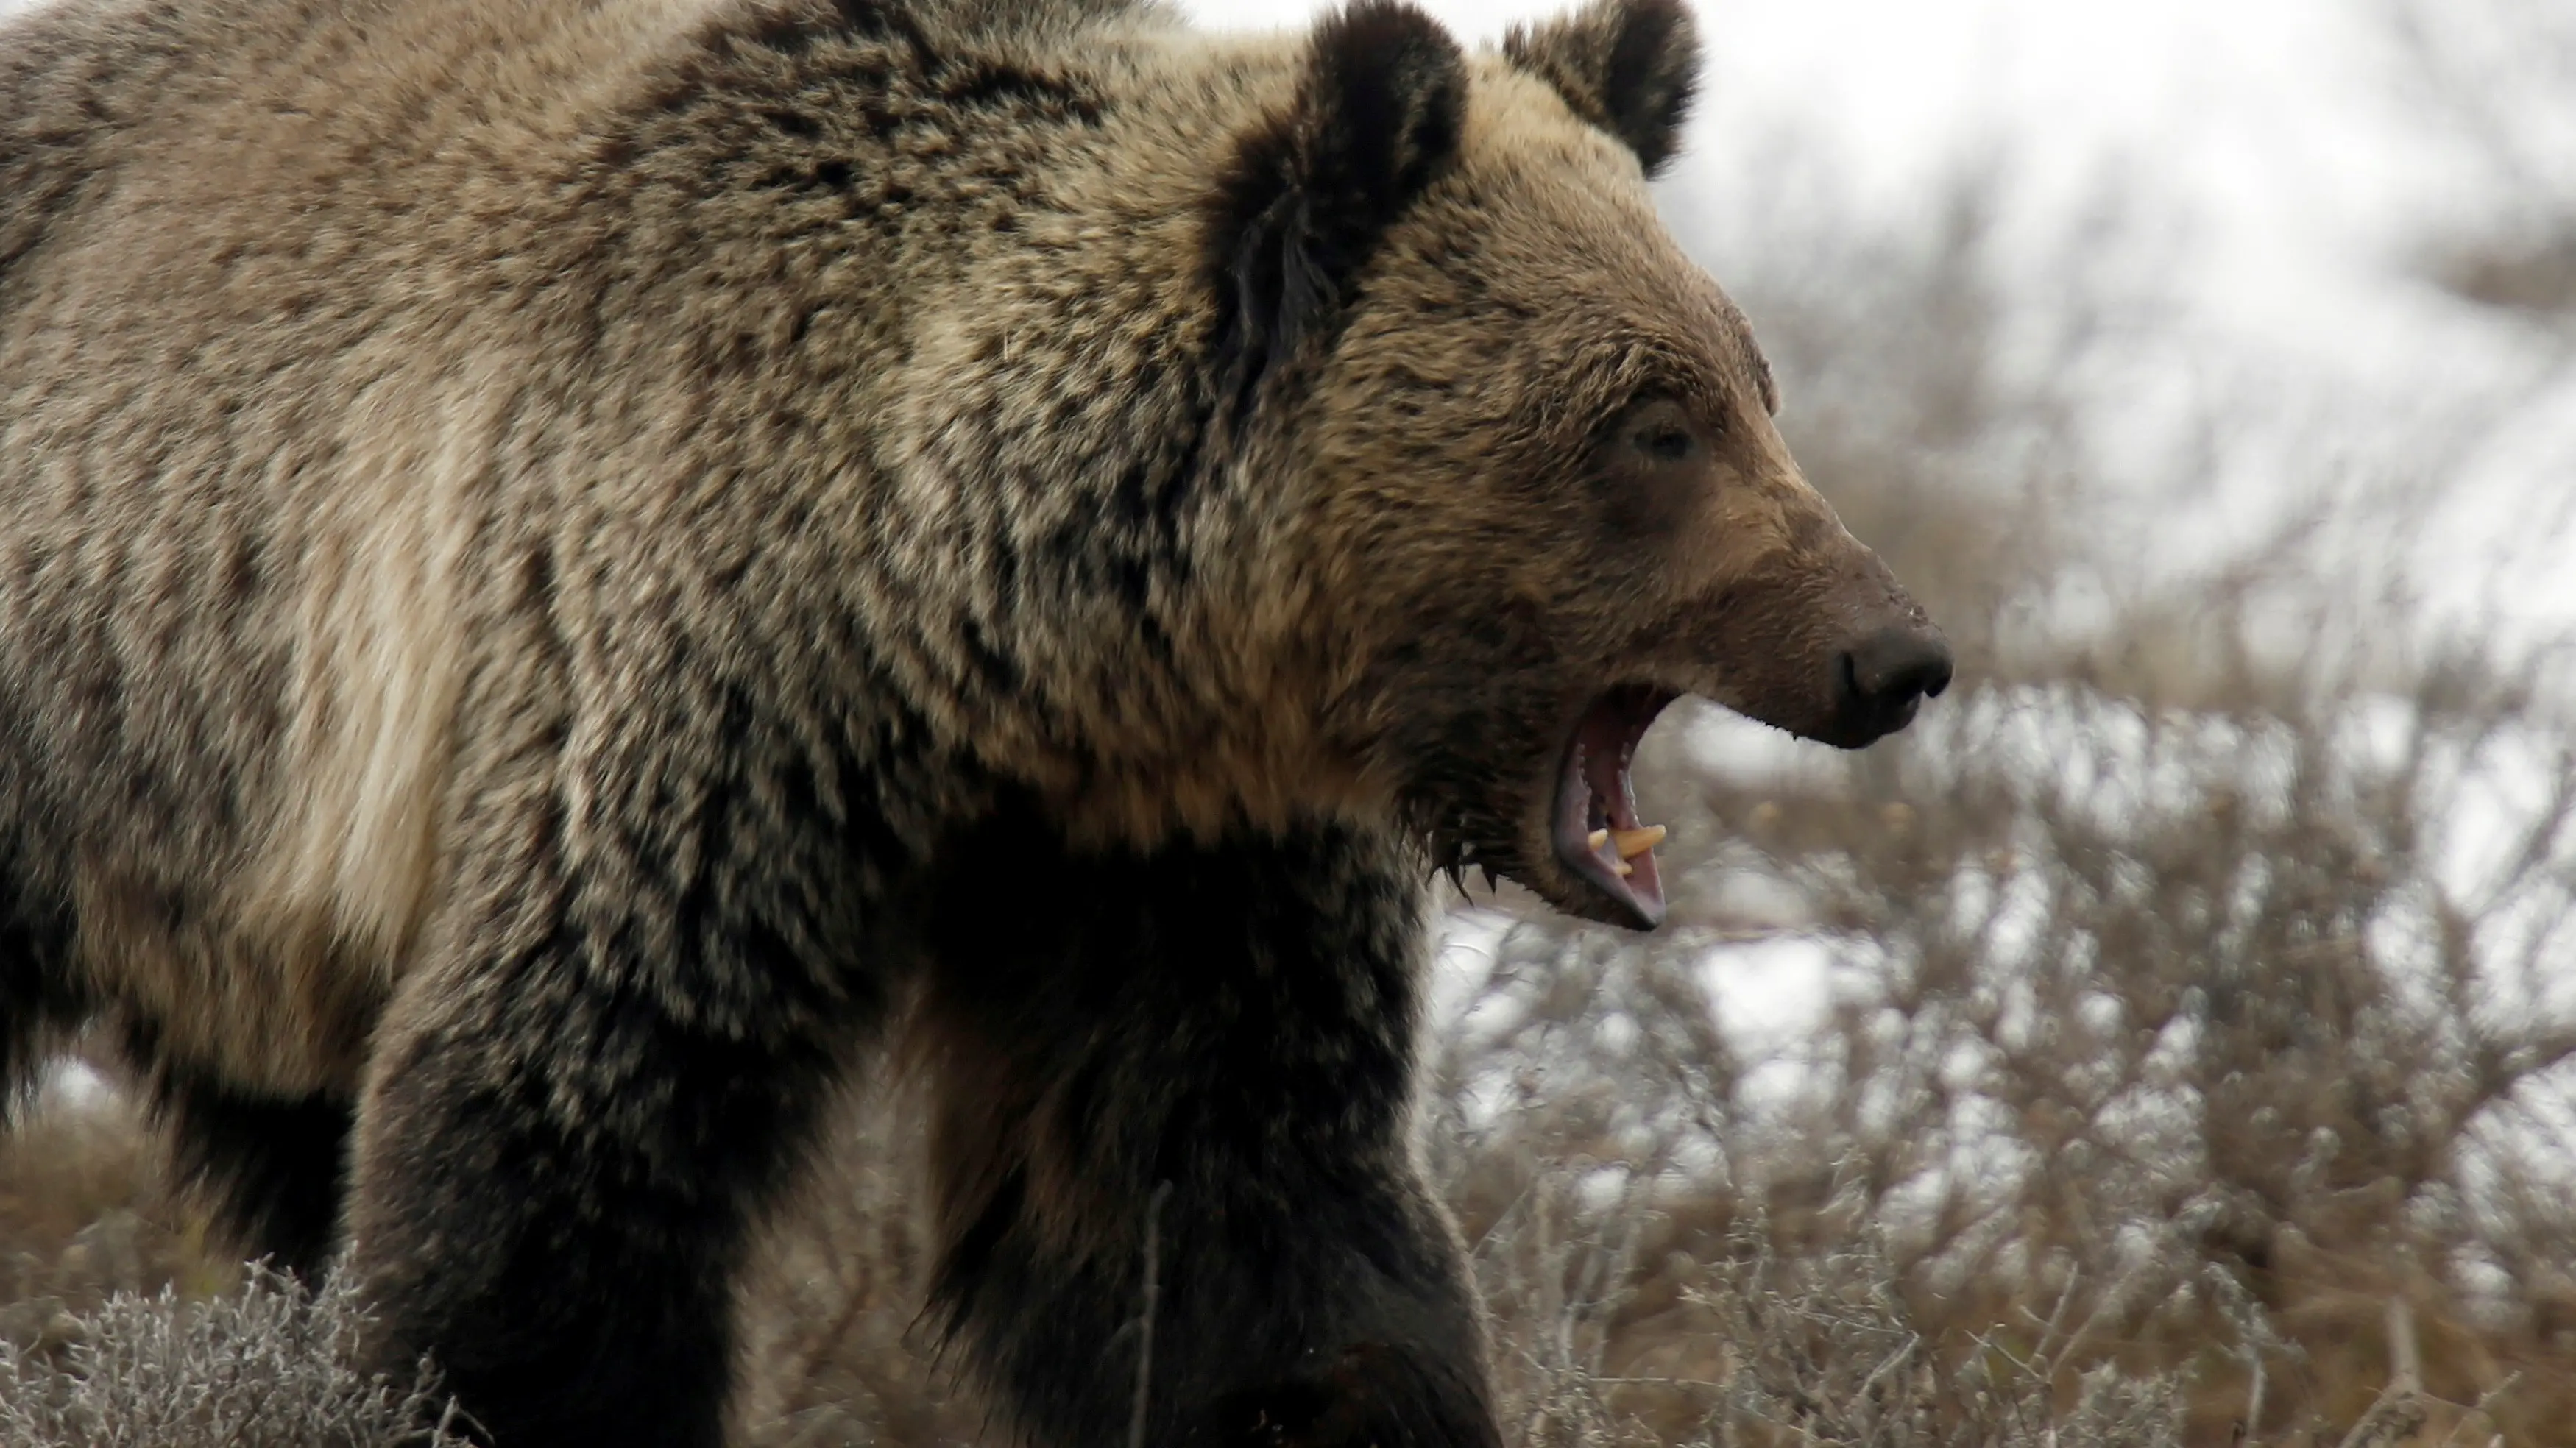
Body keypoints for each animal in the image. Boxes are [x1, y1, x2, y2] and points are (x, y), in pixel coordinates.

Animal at [0, 0, 1952, 1442]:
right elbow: (553, 1162)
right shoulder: (679, 726)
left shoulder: (1168, 860)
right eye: (1652, 424)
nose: (1894, 653)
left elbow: (1236, 1212)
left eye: (1752, 384)